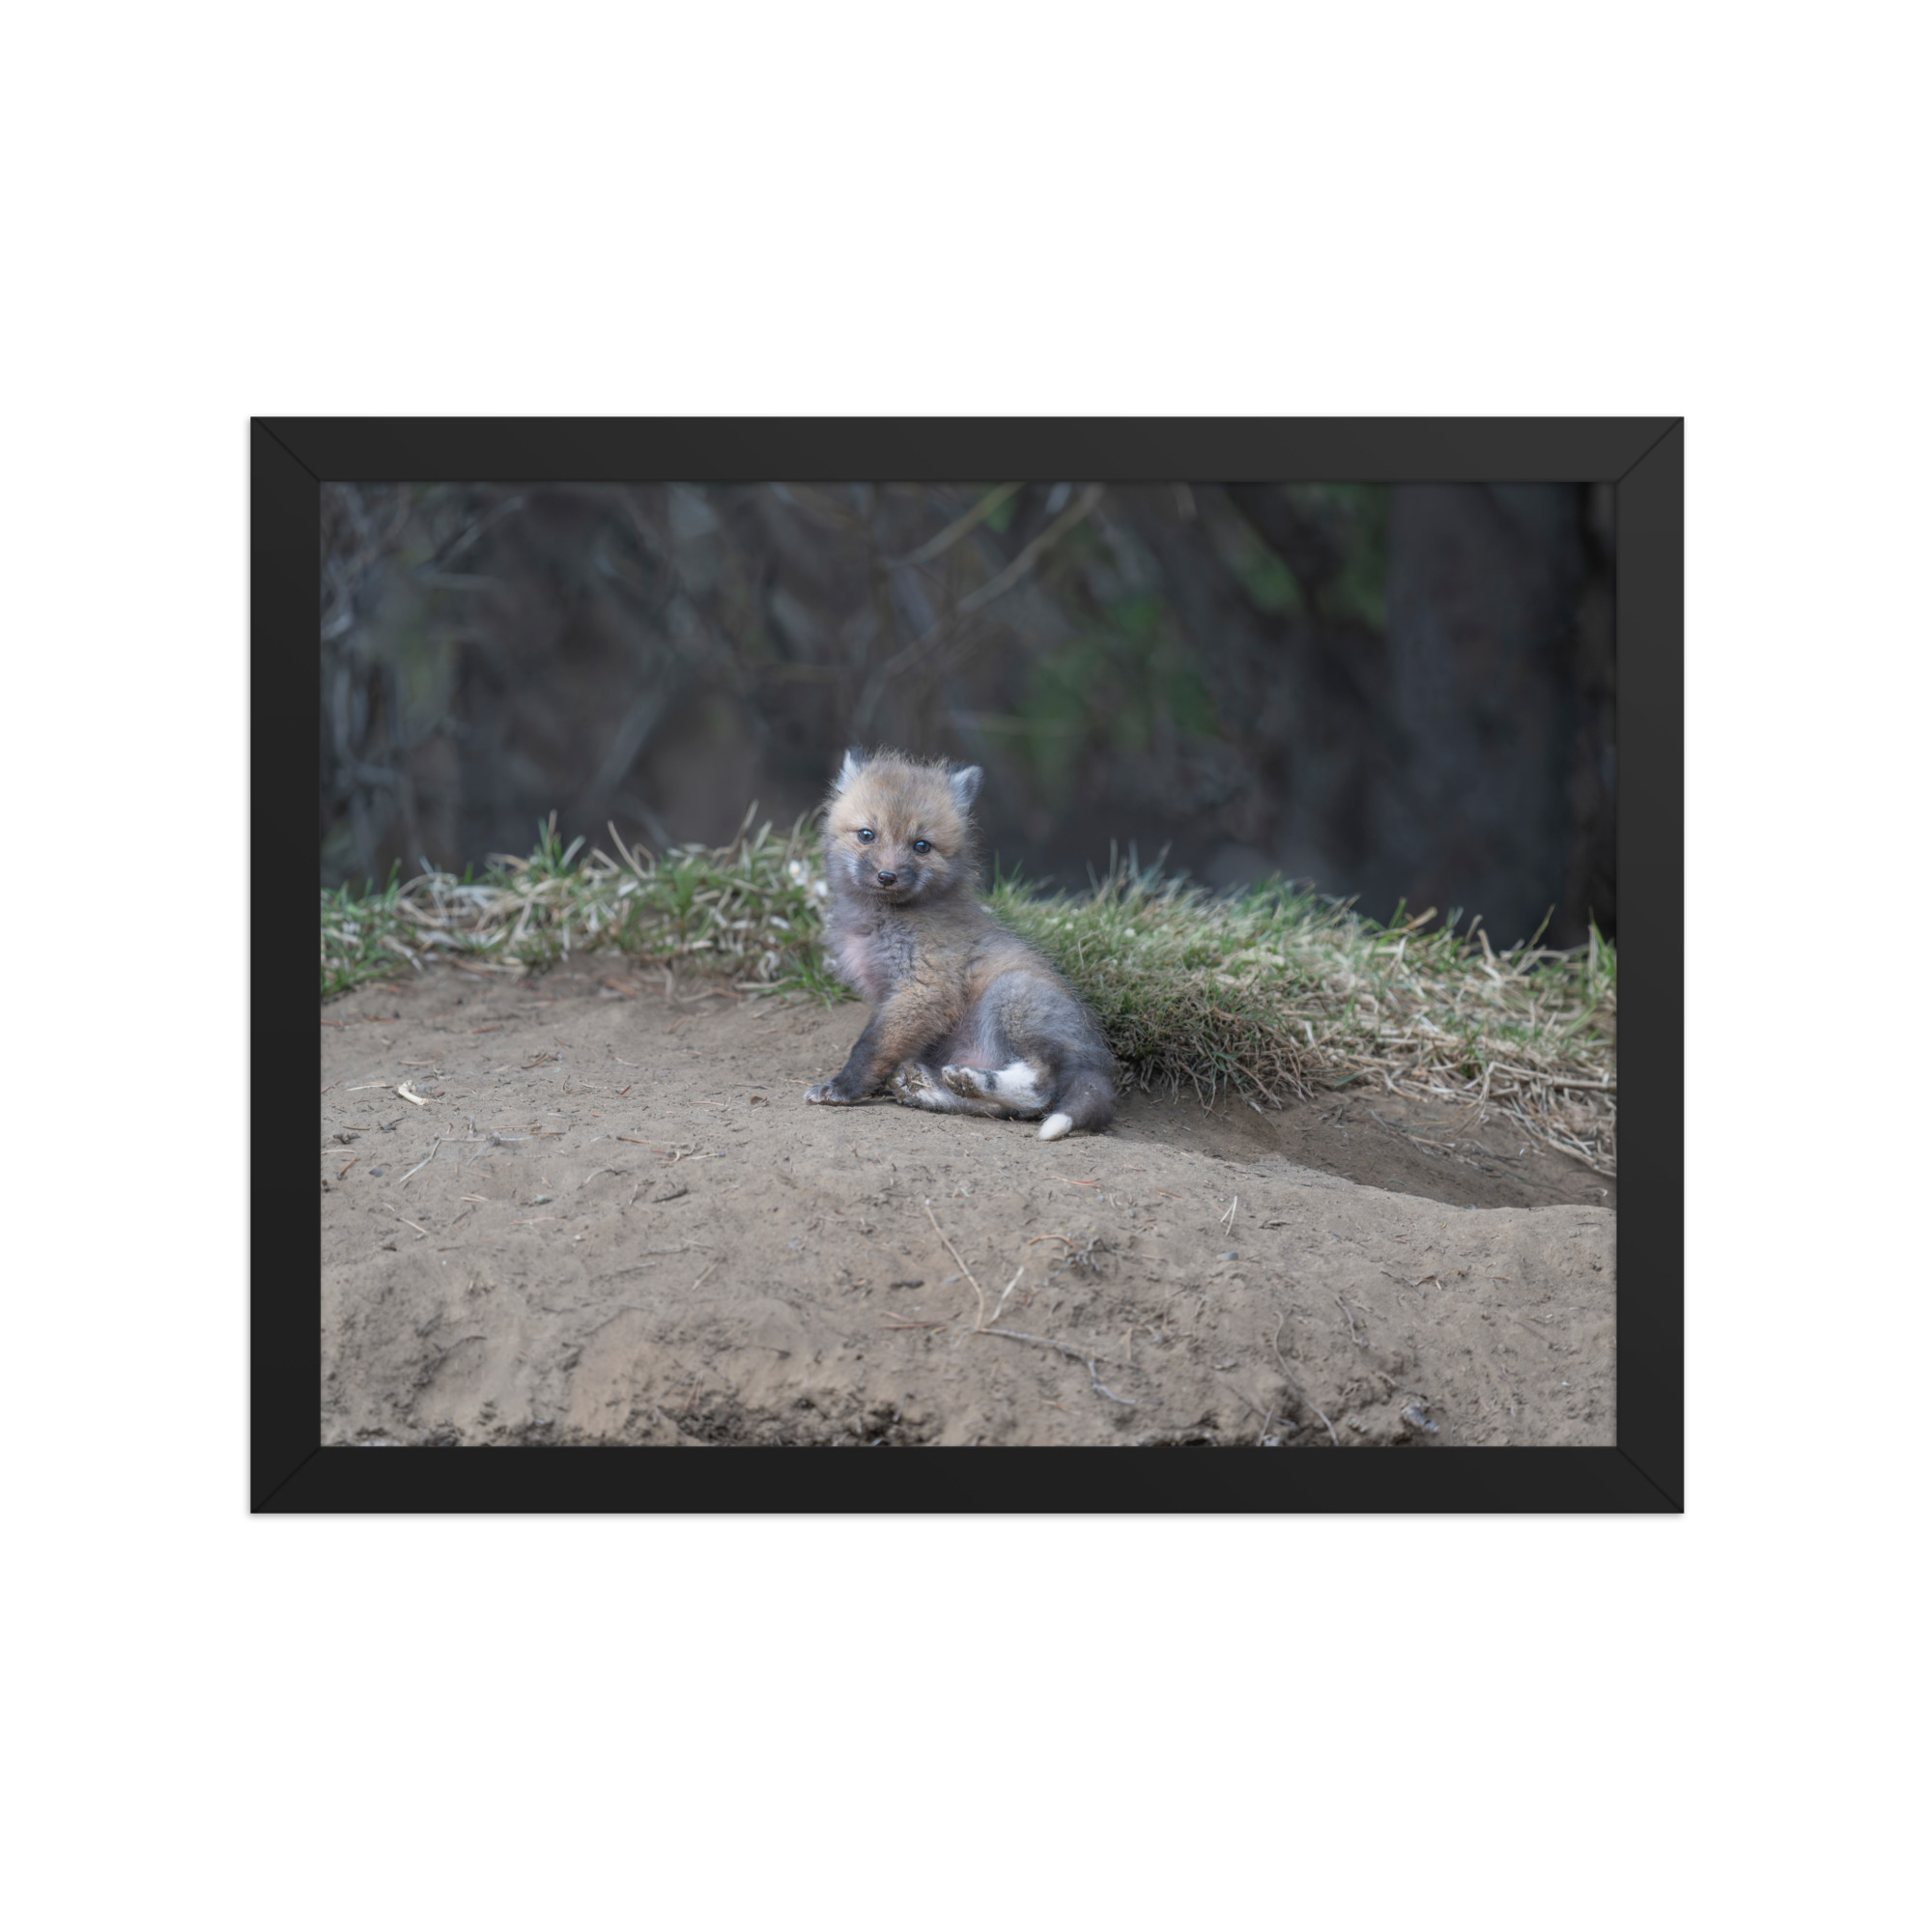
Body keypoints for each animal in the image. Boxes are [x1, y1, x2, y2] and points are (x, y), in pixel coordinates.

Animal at [803, 748, 1117, 1140]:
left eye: (921, 846)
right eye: (866, 835)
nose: (887, 876)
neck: (882, 921)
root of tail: (1099, 1062)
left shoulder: (925, 988)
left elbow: (870, 1046)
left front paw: (843, 1088)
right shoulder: (893, 997)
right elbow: (885, 1047)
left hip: (1010, 996)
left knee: (1040, 1089)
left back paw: (970, 1080)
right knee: (1004, 1110)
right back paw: (931, 1089)